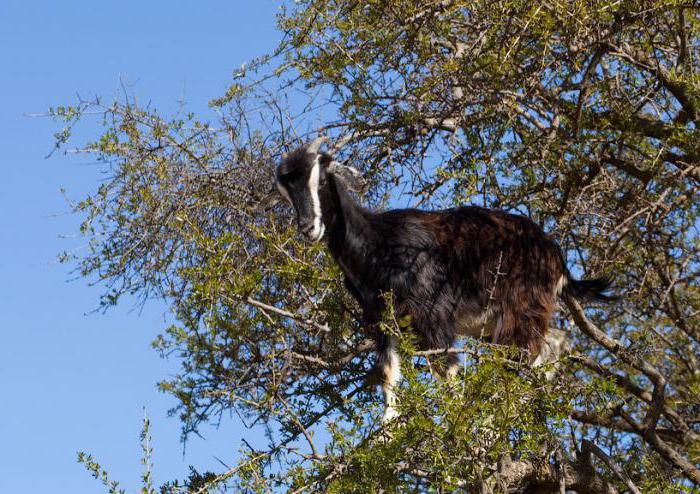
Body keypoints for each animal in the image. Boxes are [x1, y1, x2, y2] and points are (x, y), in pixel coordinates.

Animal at [268, 137, 612, 422]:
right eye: (286, 193)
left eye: (322, 178)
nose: (308, 227)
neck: (377, 244)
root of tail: (554, 254)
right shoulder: (385, 322)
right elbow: (389, 376)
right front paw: (388, 432)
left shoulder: (434, 317)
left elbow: (448, 375)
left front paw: (456, 429)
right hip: (497, 320)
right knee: (555, 340)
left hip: (520, 309)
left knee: (525, 354)